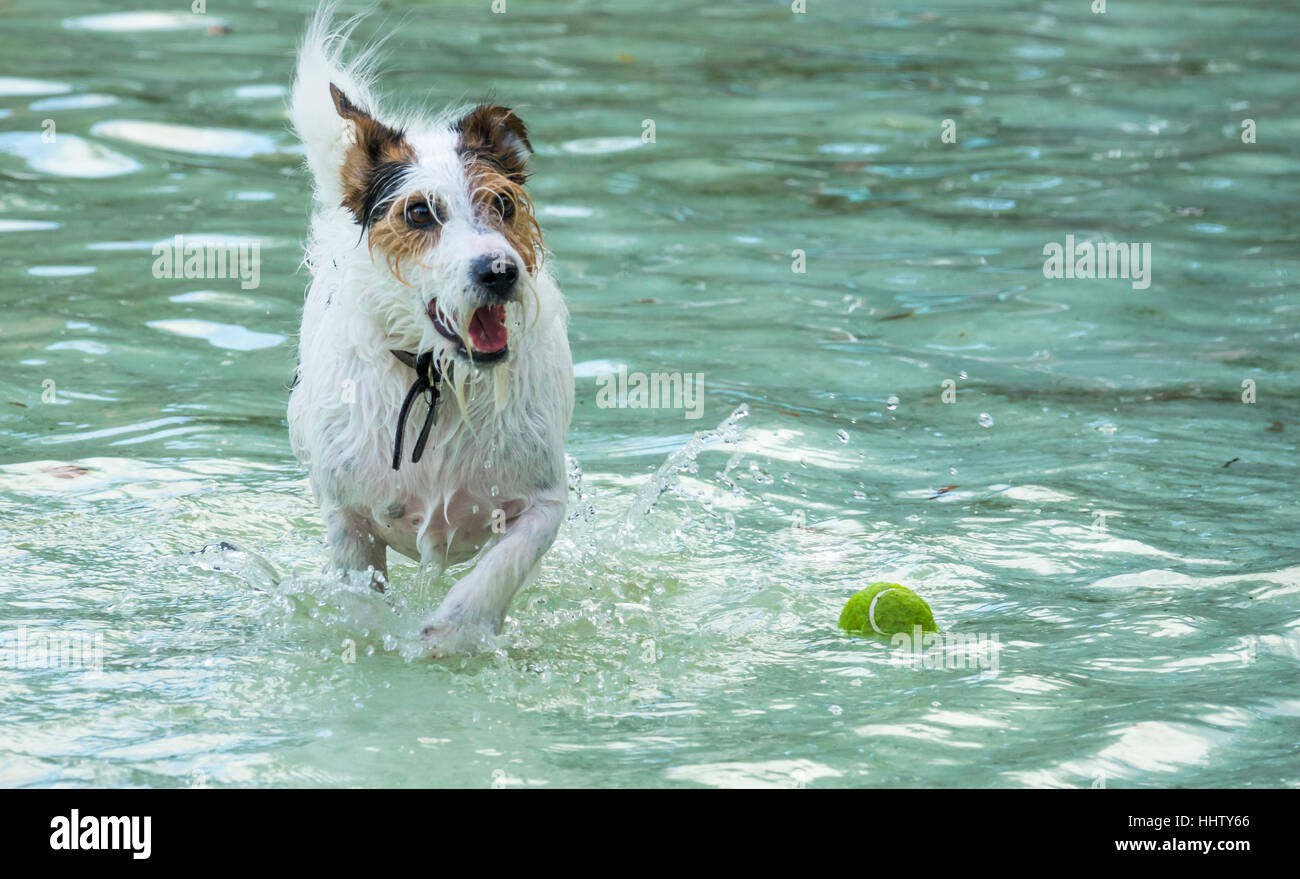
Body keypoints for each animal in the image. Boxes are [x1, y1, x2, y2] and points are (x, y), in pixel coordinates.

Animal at [289, 5, 574, 652]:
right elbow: (361, 594)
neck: (440, 382)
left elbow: (503, 565)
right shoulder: (348, 520)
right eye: (419, 212)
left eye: (504, 205)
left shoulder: (544, 502)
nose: (499, 271)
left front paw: (455, 630)